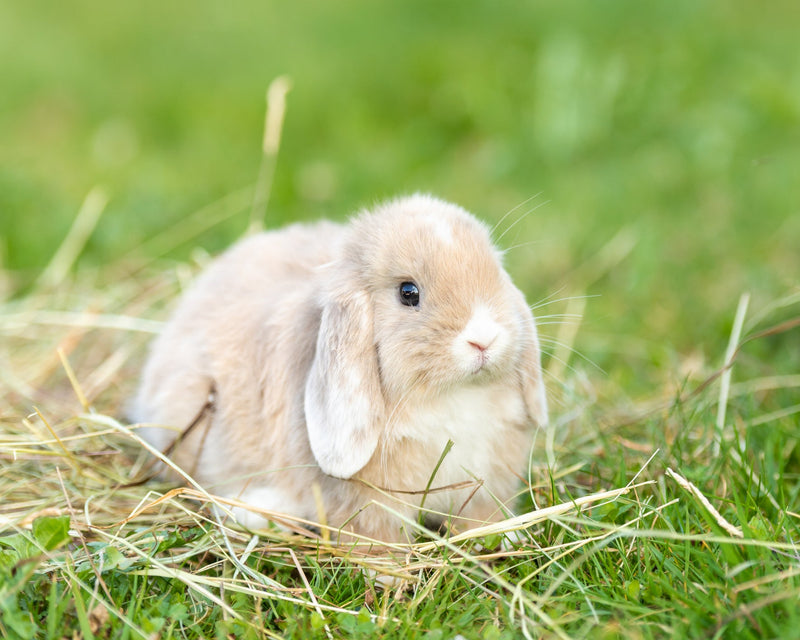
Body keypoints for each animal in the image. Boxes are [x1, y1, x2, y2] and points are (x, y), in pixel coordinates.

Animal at [130, 194, 548, 543]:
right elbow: (377, 539)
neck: (452, 398)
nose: (484, 338)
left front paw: (504, 539)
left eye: (495, 274)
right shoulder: (370, 502)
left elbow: (482, 519)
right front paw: (386, 578)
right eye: (408, 293)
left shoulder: (485, 486)